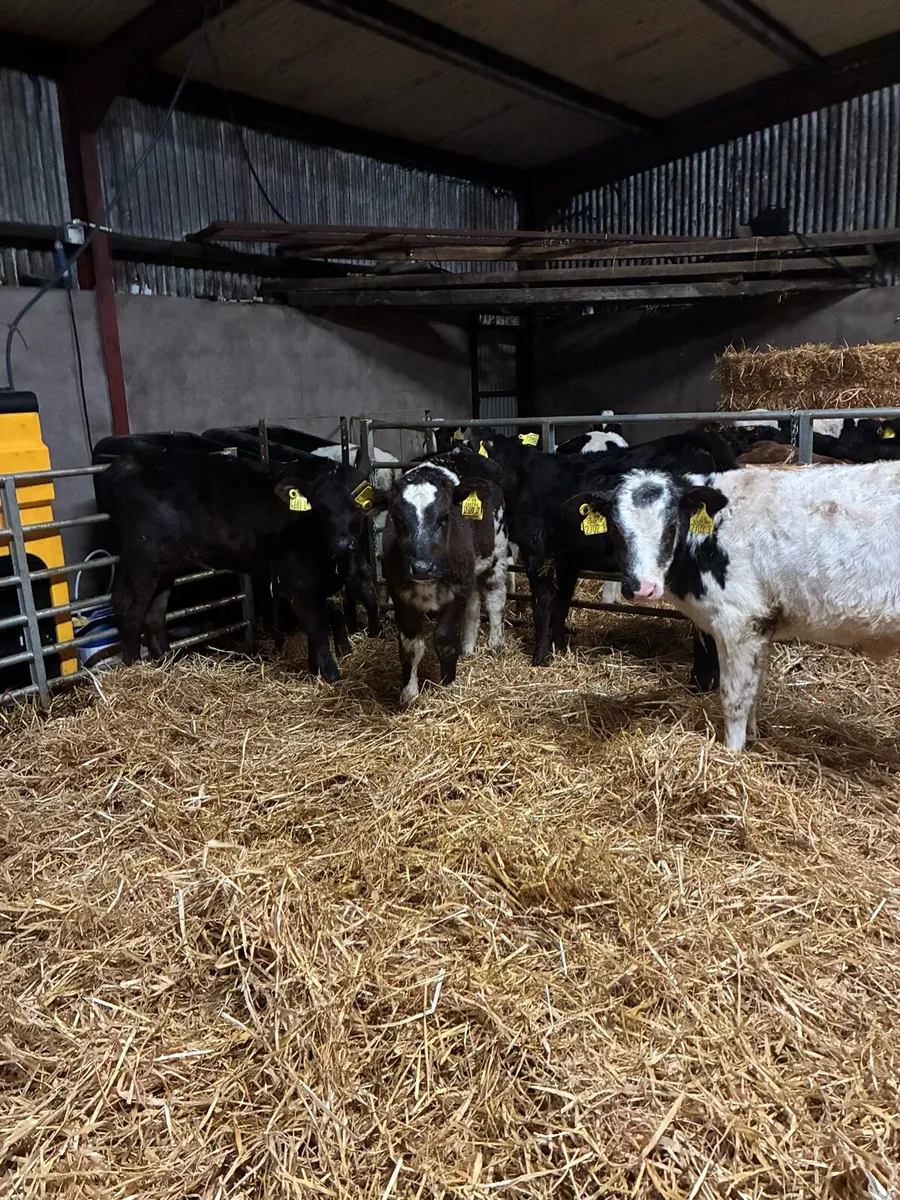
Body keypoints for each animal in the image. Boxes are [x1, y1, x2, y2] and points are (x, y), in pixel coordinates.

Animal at [97, 449, 375, 682]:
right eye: (320, 509)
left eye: (359, 505)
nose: (343, 543)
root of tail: (122, 465)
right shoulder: (297, 582)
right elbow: (317, 631)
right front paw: (331, 676)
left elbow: (325, 619)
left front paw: (320, 665)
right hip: (141, 555)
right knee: (128, 607)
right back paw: (132, 668)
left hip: (166, 563)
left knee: (154, 615)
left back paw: (167, 664)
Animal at [377, 456, 508, 706]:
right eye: (398, 520)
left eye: (444, 517)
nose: (421, 567)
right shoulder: (400, 595)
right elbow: (411, 646)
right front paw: (409, 691)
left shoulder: (456, 592)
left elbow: (445, 640)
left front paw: (448, 686)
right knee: (473, 609)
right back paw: (467, 647)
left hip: (497, 553)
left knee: (495, 599)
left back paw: (495, 643)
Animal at [569, 460, 900, 751]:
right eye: (615, 528)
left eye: (671, 526)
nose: (642, 588)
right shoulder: (762, 625)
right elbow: (755, 689)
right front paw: (752, 738)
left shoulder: (738, 621)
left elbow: (735, 697)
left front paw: (733, 751)